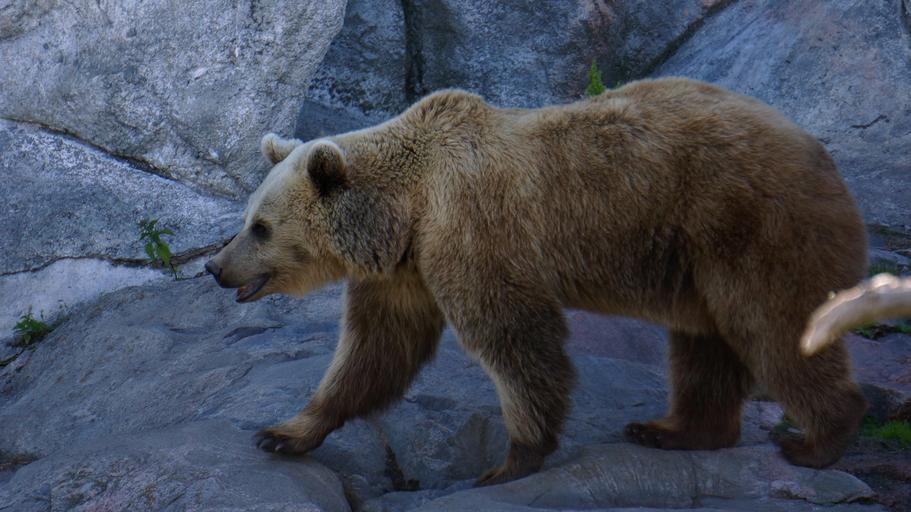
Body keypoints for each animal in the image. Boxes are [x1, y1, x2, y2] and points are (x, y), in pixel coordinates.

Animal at [205, 77, 868, 486]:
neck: (407, 208)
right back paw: (673, 430)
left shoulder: (473, 228)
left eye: (260, 226)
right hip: (696, 263)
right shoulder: (404, 269)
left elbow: (512, 336)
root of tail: (821, 153)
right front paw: (285, 433)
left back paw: (819, 438)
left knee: (775, 324)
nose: (215, 267)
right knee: (705, 345)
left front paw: (512, 459)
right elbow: (374, 350)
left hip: (748, 224)